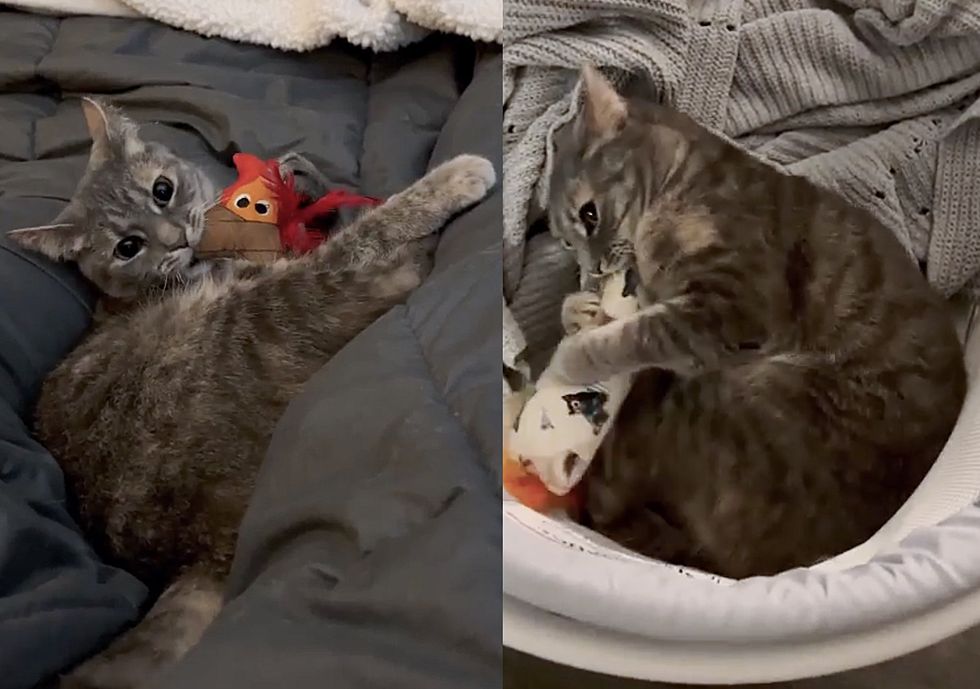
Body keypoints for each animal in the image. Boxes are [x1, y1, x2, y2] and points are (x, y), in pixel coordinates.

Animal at [8, 98, 498, 688]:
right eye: (128, 247)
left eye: (162, 190)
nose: (177, 238)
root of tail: (197, 552)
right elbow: (365, 231)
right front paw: (448, 182)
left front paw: (300, 178)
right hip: (259, 317)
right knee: (358, 272)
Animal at [548, 66, 968, 580]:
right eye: (565, 242)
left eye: (589, 215)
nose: (592, 271)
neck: (680, 181)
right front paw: (579, 309)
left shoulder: (734, 309)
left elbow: (640, 333)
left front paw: (573, 353)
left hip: (736, 400)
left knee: (611, 489)